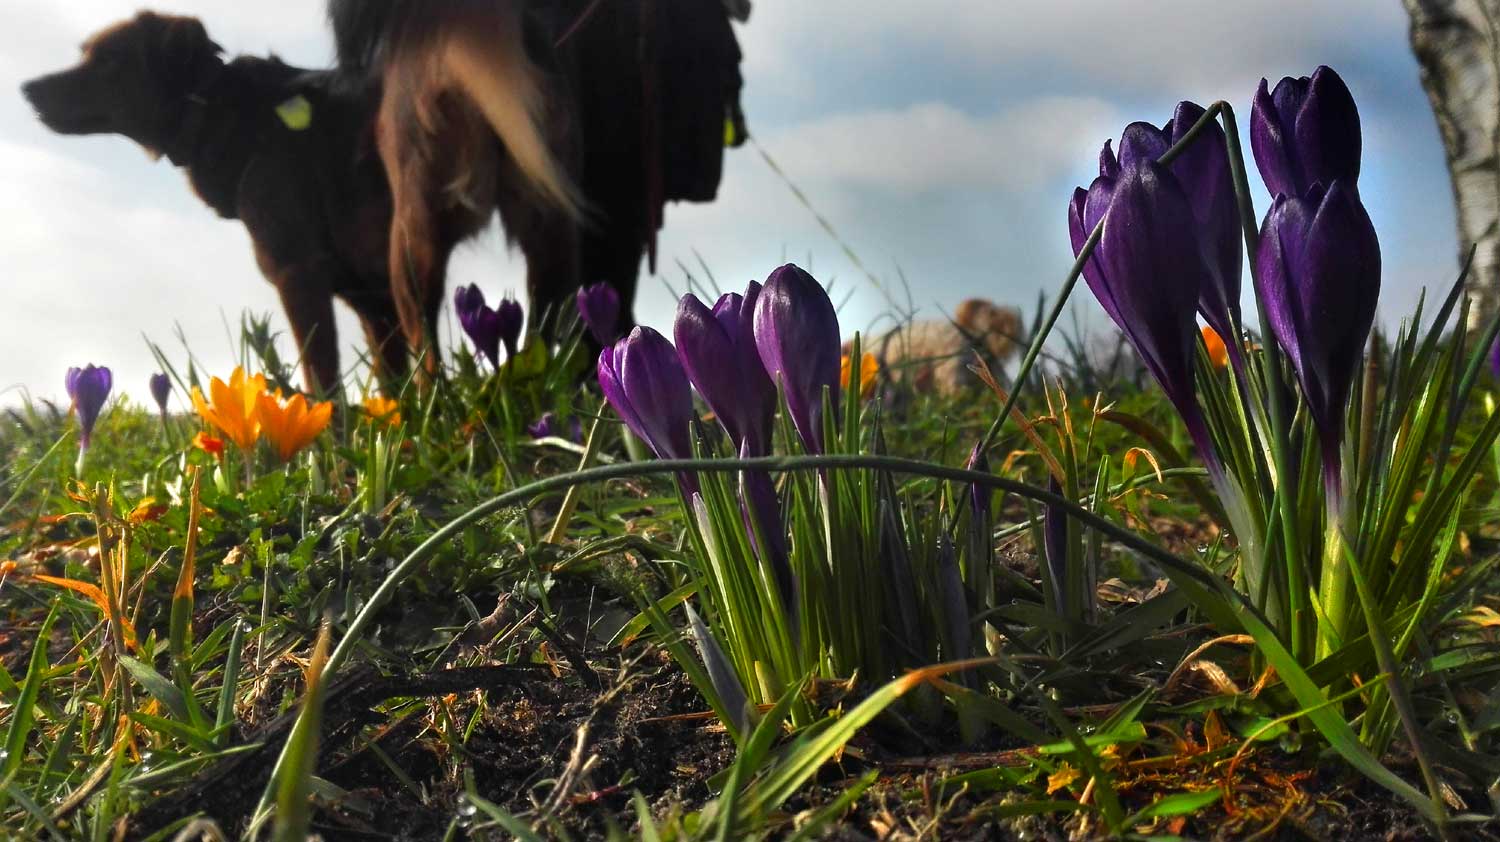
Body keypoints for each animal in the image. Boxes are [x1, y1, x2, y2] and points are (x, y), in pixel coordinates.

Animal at [24, 12, 411, 393]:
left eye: (109, 58)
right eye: (84, 52)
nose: (26, 89)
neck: (212, 112)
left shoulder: (299, 272)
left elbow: (323, 383)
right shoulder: (372, 300)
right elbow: (396, 391)